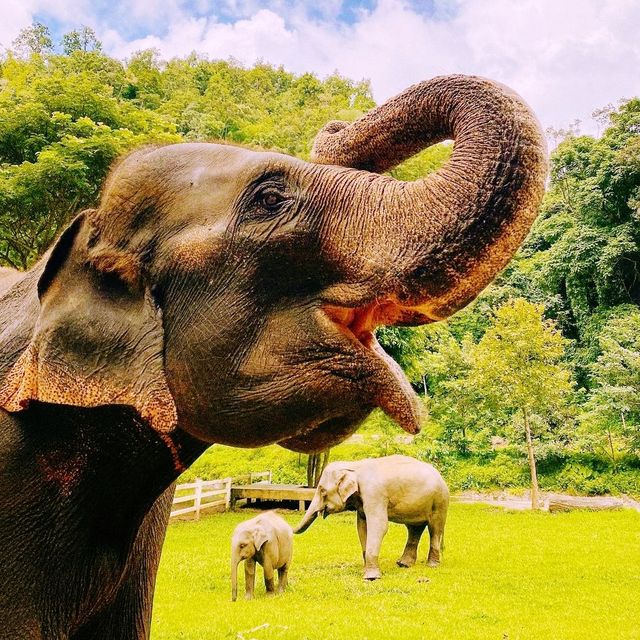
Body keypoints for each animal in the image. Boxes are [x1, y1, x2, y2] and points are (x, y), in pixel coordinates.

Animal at [292, 456, 448, 580]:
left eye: (322, 490)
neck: (355, 466)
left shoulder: (374, 494)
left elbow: (379, 526)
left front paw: (371, 578)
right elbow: (362, 527)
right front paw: (366, 570)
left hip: (439, 502)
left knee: (435, 529)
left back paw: (432, 565)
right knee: (414, 529)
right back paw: (403, 564)